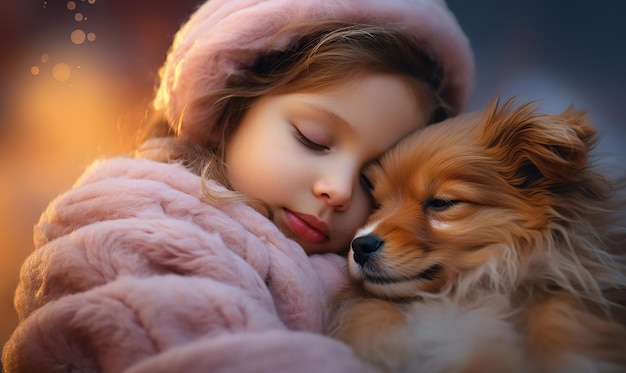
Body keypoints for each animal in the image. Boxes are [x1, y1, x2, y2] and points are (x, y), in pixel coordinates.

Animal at [326, 99, 624, 372]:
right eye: (377, 205)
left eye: (441, 203)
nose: (360, 245)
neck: (462, 294)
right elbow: (370, 311)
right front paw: (386, 343)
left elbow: (562, 319)